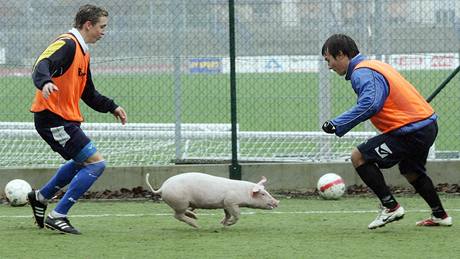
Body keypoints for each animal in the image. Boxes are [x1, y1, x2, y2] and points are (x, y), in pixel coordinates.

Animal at [146, 174, 278, 229]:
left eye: (266, 191)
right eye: (263, 194)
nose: (277, 202)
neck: (243, 192)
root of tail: (162, 188)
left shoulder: (225, 204)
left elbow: (227, 214)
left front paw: (223, 224)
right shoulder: (231, 202)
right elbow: (237, 215)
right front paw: (228, 224)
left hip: (182, 204)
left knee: (180, 214)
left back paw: (195, 216)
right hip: (180, 202)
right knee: (177, 216)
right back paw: (197, 225)